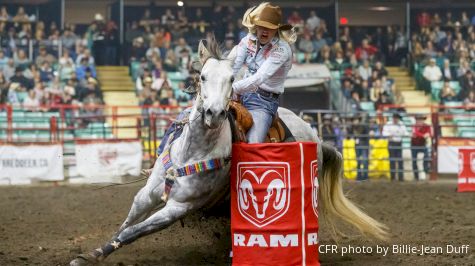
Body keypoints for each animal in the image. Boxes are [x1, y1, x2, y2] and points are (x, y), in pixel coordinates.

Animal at [71, 38, 390, 264]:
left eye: (232, 80)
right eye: (202, 77)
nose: (214, 113)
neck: (193, 151)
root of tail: (316, 136)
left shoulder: (178, 207)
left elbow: (134, 231)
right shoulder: (148, 193)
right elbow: (127, 224)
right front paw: (93, 253)